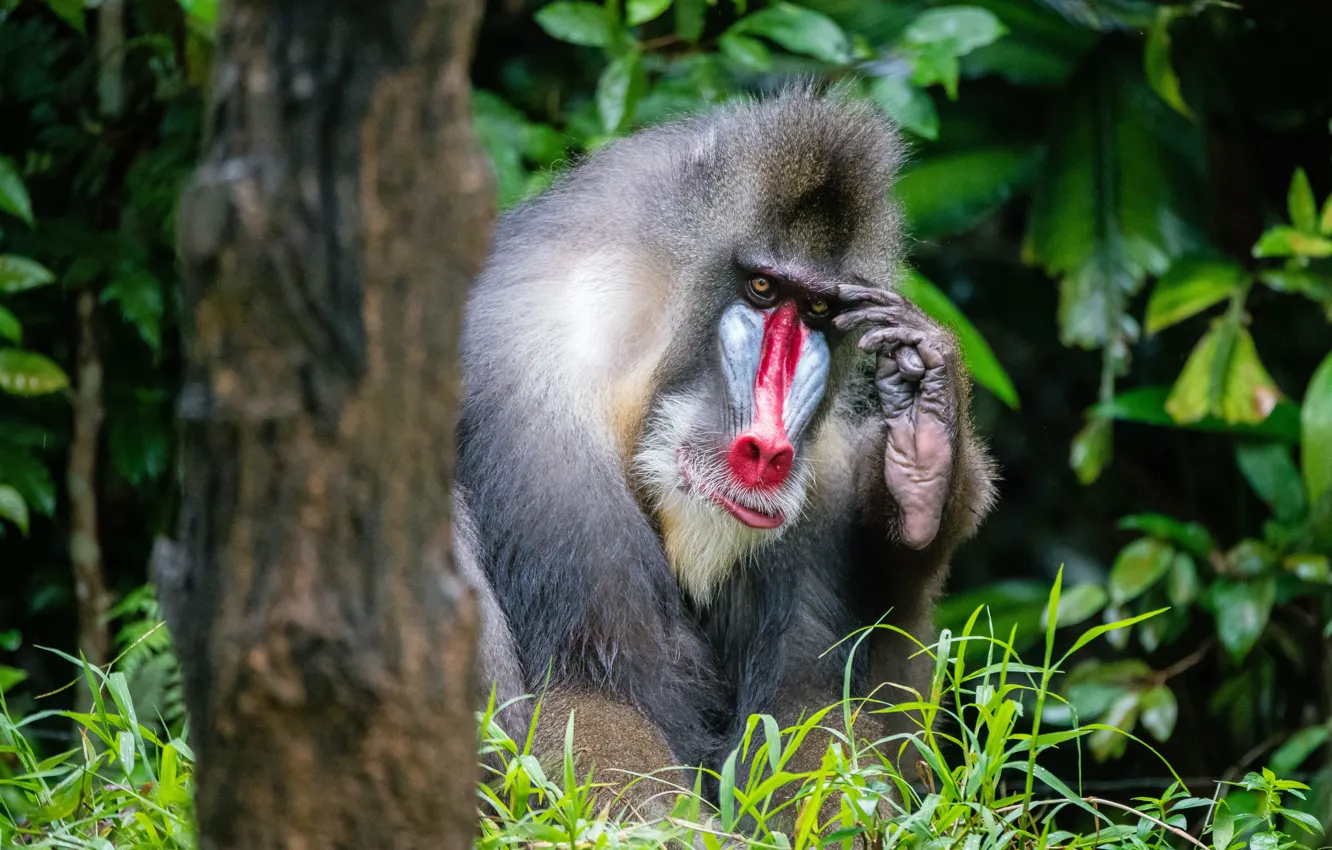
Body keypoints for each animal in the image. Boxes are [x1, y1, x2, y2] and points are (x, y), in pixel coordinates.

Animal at [453, 86, 997, 823]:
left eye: (817, 309)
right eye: (761, 289)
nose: (767, 452)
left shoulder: (817, 487)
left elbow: (802, 698)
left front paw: (924, 441)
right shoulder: (536, 408)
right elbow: (593, 696)